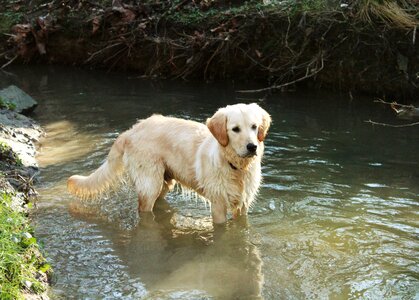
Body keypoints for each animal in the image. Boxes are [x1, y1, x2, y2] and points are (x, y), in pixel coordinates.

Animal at [67, 103, 270, 223]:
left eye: (254, 127)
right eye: (235, 129)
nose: (252, 147)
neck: (236, 167)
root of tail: (131, 131)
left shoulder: (243, 205)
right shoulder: (218, 204)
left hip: (165, 182)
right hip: (150, 184)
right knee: (144, 209)